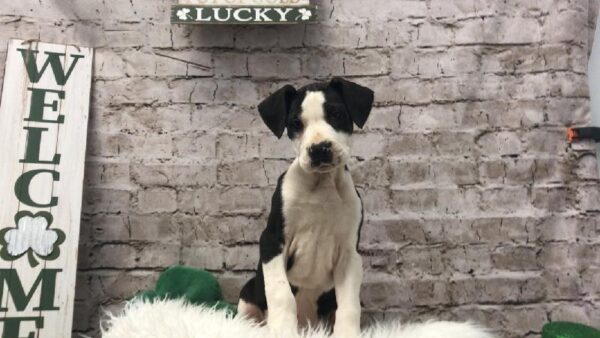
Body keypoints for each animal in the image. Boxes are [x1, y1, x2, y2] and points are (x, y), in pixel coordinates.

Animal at [237, 77, 372, 338]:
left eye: (336, 114)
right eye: (296, 124)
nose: (319, 148)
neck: (321, 187)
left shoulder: (349, 255)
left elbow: (349, 305)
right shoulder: (271, 242)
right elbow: (281, 294)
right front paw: (282, 330)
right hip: (249, 291)